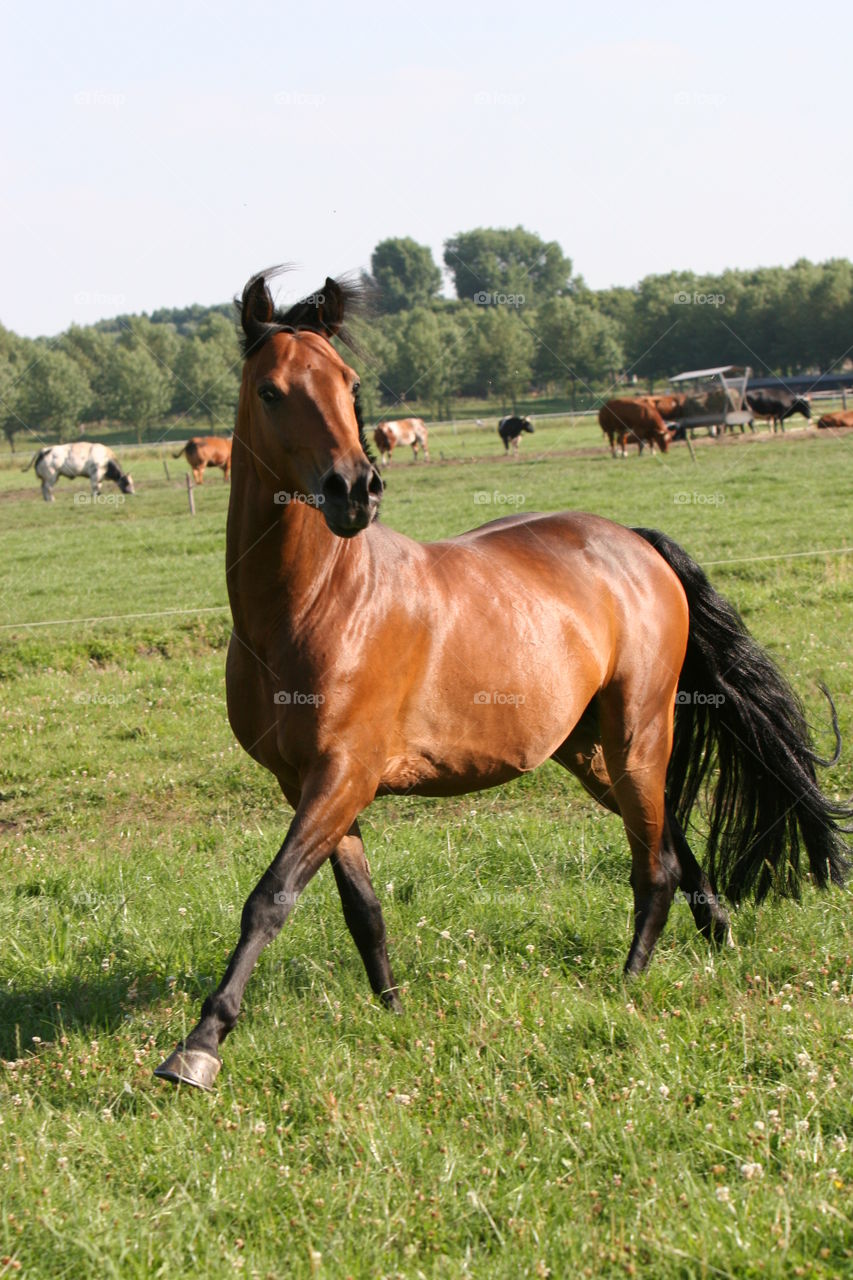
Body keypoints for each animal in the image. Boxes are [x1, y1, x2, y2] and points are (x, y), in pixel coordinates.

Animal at [154, 270, 850, 1091]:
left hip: (638, 730)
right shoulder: (313, 786)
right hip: (587, 750)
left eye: (348, 384)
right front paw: (392, 1011)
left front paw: (198, 1046)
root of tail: (634, 544)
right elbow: (361, 909)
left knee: (653, 863)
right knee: (667, 838)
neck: (316, 605)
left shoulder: (343, 774)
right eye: (270, 390)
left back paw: (629, 981)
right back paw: (718, 932)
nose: (356, 489)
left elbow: (269, 898)